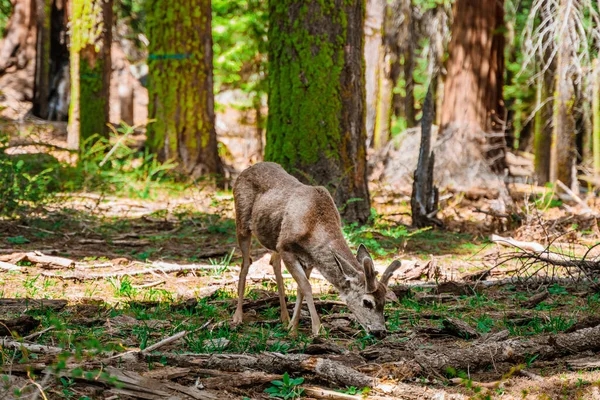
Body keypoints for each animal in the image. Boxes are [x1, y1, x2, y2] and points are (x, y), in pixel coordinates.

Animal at [232, 161, 400, 336]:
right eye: (367, 302)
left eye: (384, 302)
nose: (380, 332)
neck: (314, 225)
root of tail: (246, 170)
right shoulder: (285, 247)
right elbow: (307, 286)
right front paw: (318, 329)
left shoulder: (310, 258)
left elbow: (300, 288)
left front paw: (292, 327)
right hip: (242, 223)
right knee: (246, 263)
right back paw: (238, 317)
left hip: (273, 236)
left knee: (273, 262)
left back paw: (284, 318)